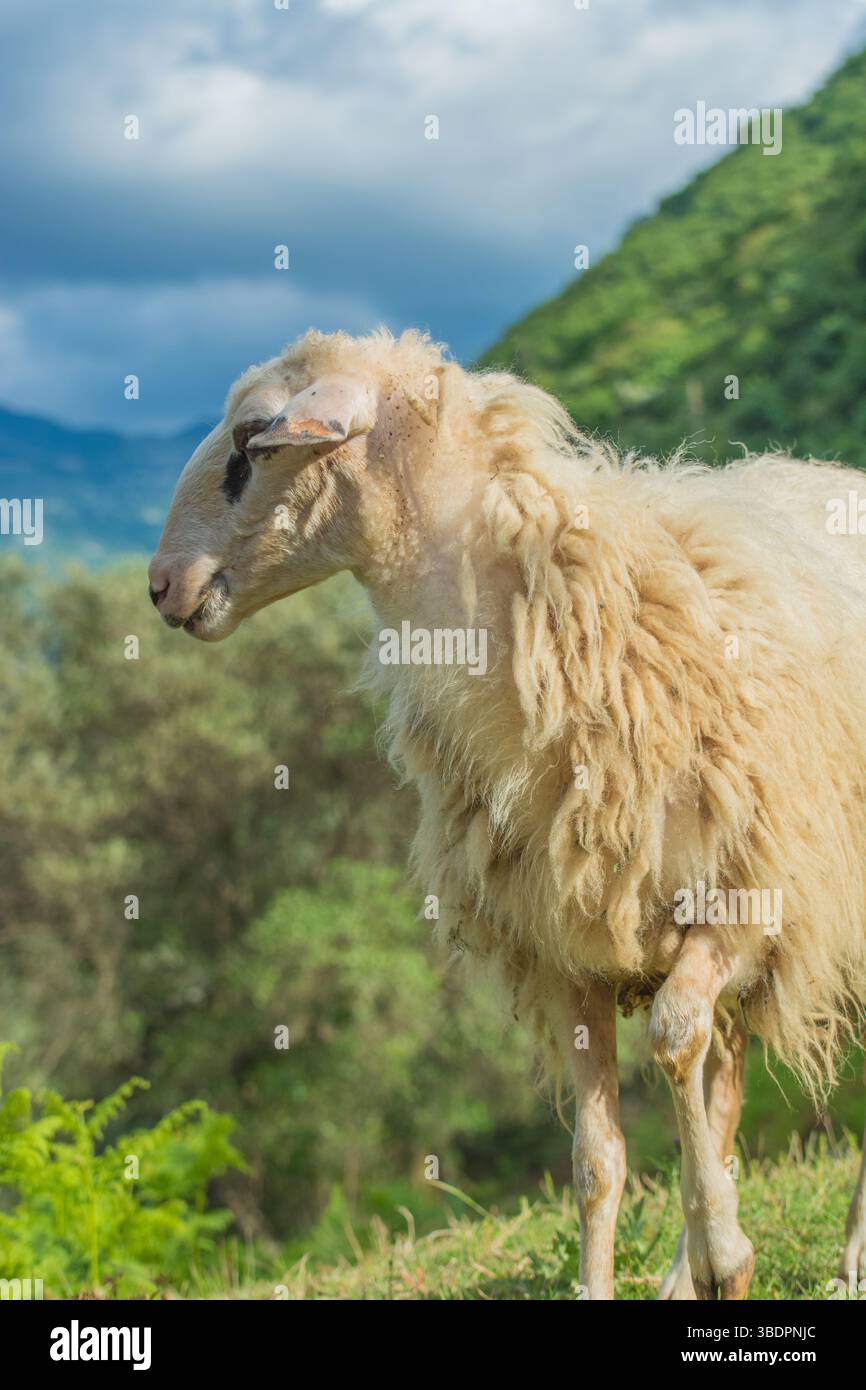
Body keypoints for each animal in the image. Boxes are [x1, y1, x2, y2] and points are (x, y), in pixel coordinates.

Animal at [149, 327, 866, 1300]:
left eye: (251, 439)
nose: (161, 583)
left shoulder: (752, 901)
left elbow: (675, 1038)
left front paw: (727, 1253)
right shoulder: (567, 951)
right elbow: (598, 1160)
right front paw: (637, 1275)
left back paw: (836, 1257)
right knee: (720, 1084)